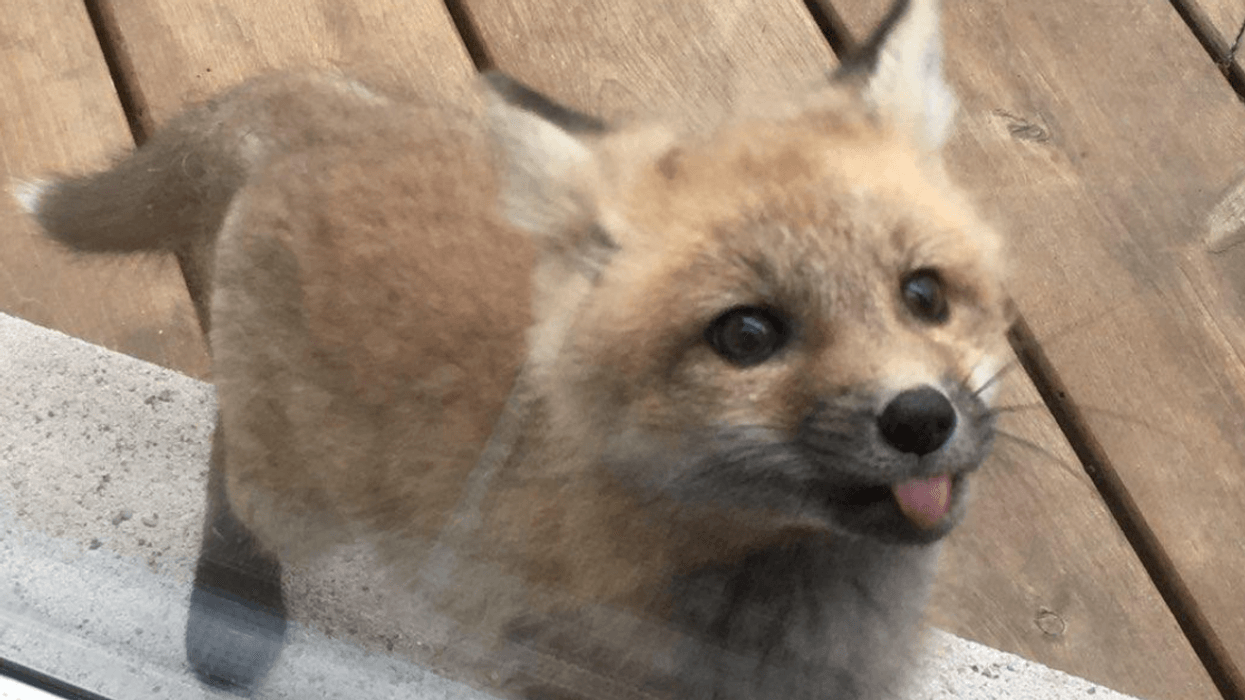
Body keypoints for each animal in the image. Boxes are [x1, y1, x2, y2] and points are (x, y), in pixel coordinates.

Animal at [15, 0, 1009, 698]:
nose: (920, 417)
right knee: (232, 476)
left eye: (924, 295)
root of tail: (320, 115)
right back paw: (234, 608)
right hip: (301, 494)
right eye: (747, 335)